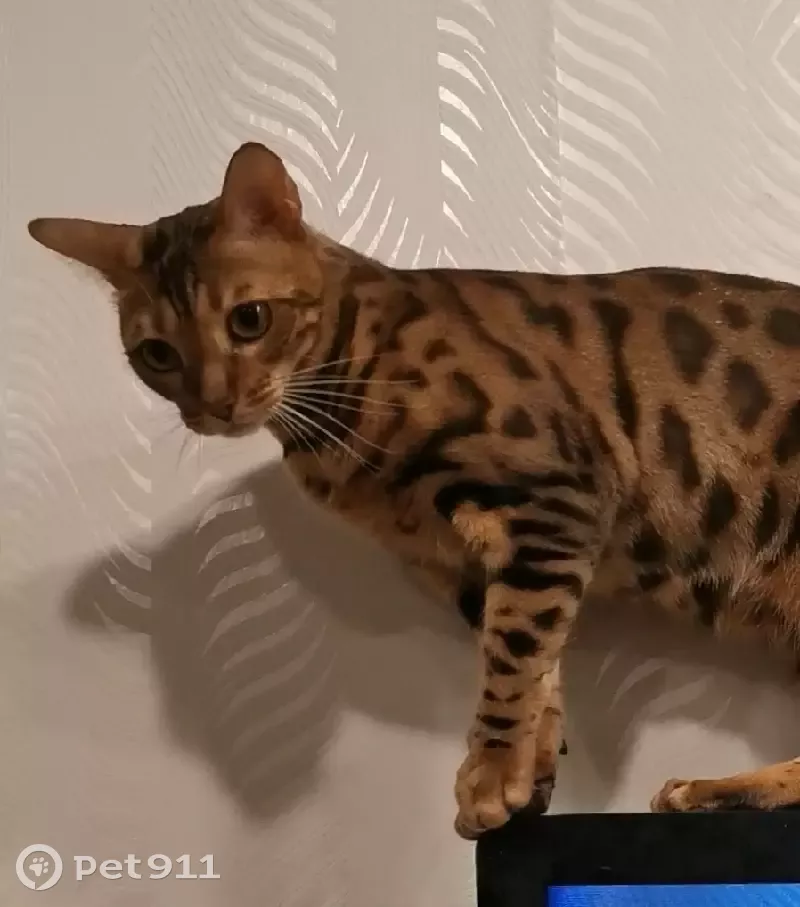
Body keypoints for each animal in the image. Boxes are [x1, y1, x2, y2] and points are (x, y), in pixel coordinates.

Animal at [28, 141, 800, 838]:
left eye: (249, 319)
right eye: (155, 355)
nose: (212, 407)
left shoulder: (557, 498)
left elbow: (513, 657)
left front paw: (489, 774)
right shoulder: (467, 563)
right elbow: (537, 668)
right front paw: (527, 773)